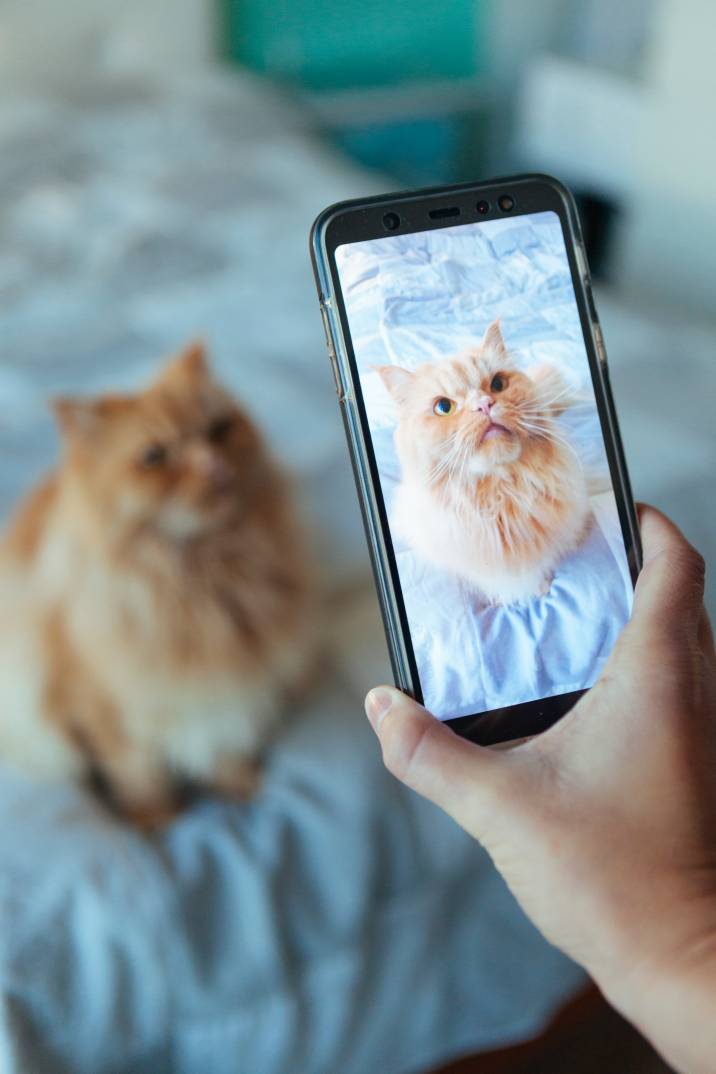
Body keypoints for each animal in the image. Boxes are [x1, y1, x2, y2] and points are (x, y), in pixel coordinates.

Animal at [0, 339, 313, 824]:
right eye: (155, 457)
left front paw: (241, 792)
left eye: (219, 429)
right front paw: (159, 824)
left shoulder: (225, 696)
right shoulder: (106, 714)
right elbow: (140, 778)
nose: (216, 466)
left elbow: (225, 753)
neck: (207, 580)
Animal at [377, 315, 592, 605]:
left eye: (498, 385)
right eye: (443, 407)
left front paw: (541, 586)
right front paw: (519, 594)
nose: (484, 405)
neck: (501, 494)